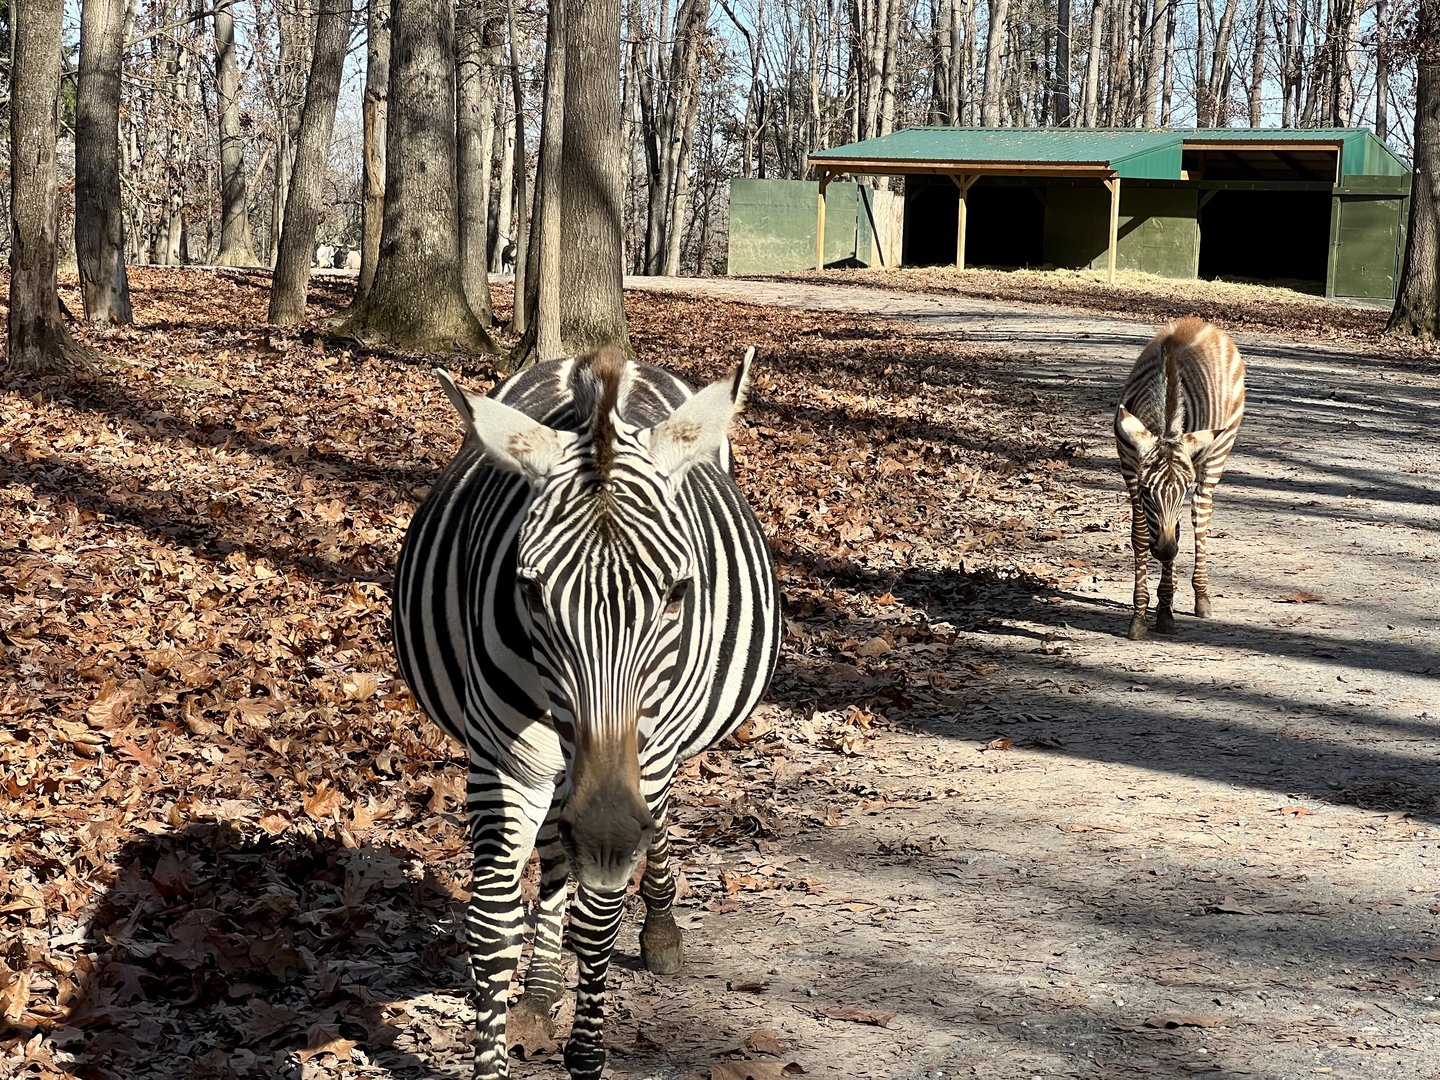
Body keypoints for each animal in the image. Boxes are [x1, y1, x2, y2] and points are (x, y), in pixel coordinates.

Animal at [392, 346, 781, 1080]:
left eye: (678, 591)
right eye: (529, 592)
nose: (603, 830)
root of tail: (593, 360)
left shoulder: (639, 760)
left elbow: (599, 920)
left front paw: (587, 1055)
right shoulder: (504, 762)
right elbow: (493, 929)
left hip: (656, 757)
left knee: (651, 827)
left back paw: (658, 929)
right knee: (555, 856)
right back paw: (543, 987)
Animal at [1114, 317, 1245, 640]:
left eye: (1183, 490)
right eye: (1147, 491)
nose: (1164, 549)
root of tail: (1199, 322)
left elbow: (1179, 530)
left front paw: (1165, 612)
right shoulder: (1129, 468)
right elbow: (1139, 536)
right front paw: (1140, 616)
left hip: (1217, 452)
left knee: (1200, 518)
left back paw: (1202, 597)